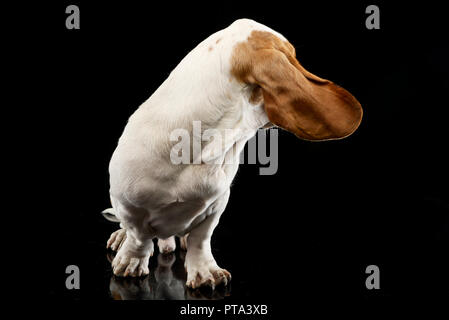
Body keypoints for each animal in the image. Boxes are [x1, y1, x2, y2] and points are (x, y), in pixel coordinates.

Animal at [100, 19, 360, 290]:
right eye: (292, 54)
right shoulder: (129, 205)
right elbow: (139, 237)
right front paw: (131, 260)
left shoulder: (217, 202)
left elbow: (201, 237)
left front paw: (205, 271)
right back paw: (122, 238)